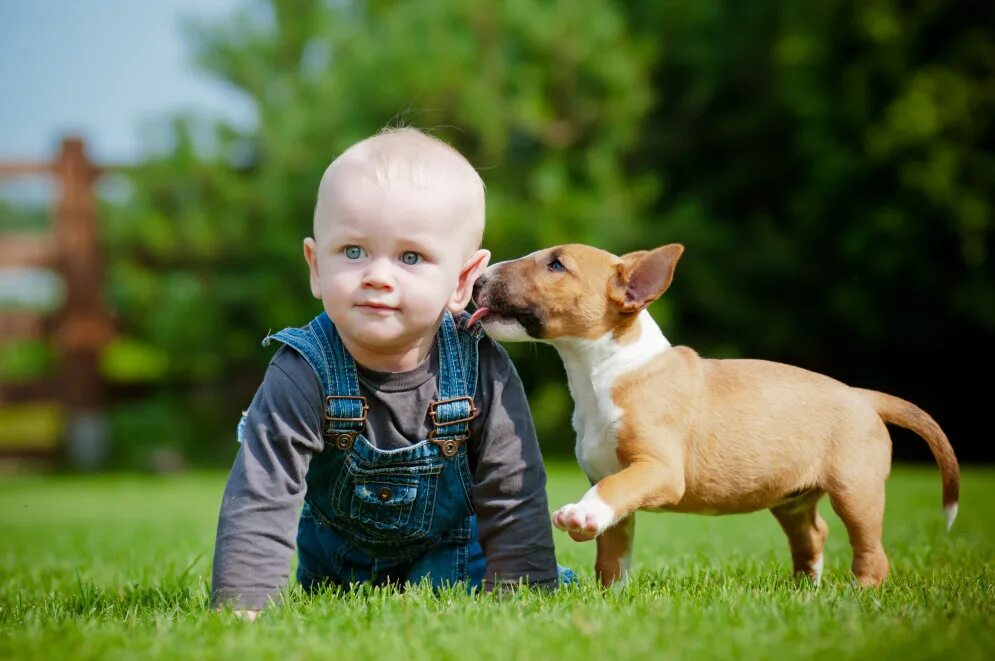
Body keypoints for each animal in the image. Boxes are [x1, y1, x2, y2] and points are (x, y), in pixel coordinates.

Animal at [470, 242, 960, 588]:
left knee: (871, 550)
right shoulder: (610, 476)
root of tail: (864, 396)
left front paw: (579, 517)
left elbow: (612, 491)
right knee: (813, 534)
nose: (478, 280)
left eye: (557, 265)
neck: (606, 370)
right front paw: (613, 595)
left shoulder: (658, 469)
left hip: (856, 489)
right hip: (793, 498)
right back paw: (805, 589)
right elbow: (614, 547)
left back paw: (858, 594)